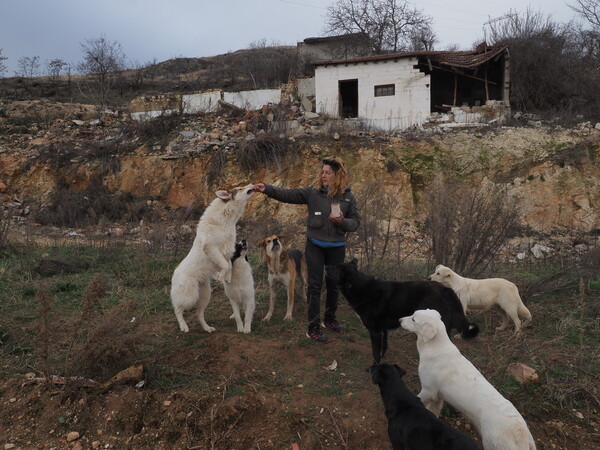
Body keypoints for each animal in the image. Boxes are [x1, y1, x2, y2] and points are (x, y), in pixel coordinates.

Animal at [172, 184, 258, 334]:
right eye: (240, 188)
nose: (252, 184)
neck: (224, 219)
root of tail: (174, 273)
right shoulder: (212, 248)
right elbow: (225, 264)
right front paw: (222, 276)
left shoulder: (228, 250)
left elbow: (228, 264)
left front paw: (227, 277)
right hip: (190, 296)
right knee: (178, 309)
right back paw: (183, 326)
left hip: (205, 295)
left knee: (198, 314)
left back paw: (207, 328)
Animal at [328, 258, 478, 364]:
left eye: (335, 269)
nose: (325, 266)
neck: (358, 286)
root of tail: (446, 290)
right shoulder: (383, 330)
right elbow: (383, 348)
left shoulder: (375, 331)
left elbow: (375, 353)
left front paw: (374, 369)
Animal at [400, 310, 536, 450]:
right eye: (412, 315)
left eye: (413, 319)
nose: (399, 320)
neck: (436, 347)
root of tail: (521, 433)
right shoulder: (438, 396)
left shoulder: (428, 390)